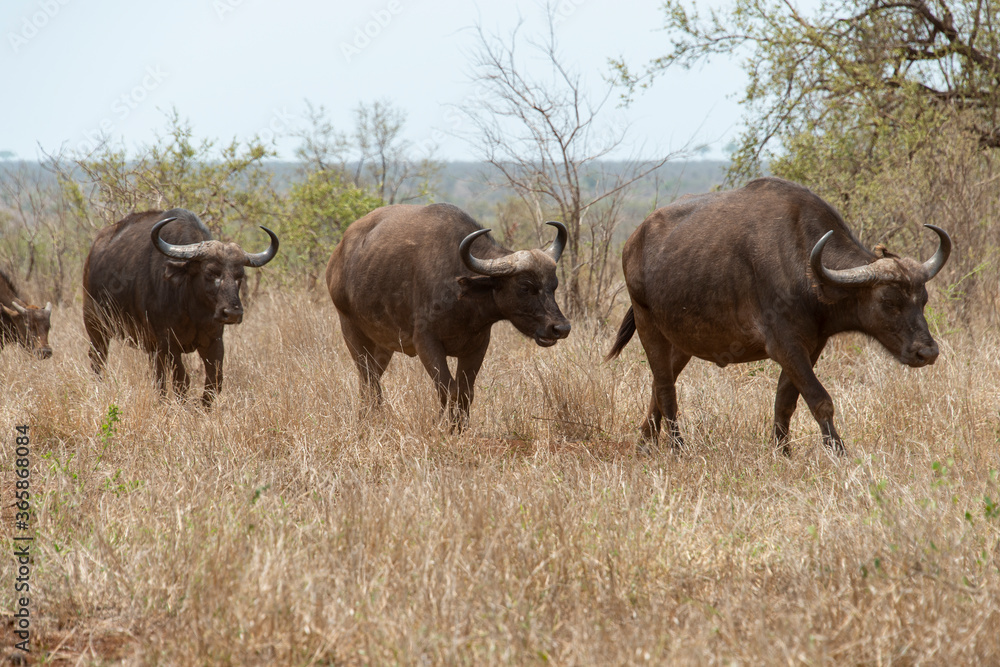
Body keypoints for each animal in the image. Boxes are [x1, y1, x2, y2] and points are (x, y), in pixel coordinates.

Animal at [81, 209, 278, 408]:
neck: (192, 308)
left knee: (157, 375)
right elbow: (182, 380)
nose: (232, 313)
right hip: (95, 326)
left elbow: (215, 380)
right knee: (98, 358)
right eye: (211, 272)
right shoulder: (169, 343)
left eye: (240, 275)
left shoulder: (214, 341)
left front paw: (202, 407)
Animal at [324, 201, 568, 428]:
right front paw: (443, 426)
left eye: (554, 285)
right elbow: (447, 388)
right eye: (525, 287)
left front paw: (460, 427)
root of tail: (338, 256)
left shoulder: (477, 346)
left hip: (384, 344)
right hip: (351, 330)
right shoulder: (426, 343)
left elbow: (465, 392)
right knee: (368, 379)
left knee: (372, 378)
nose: (561, 328)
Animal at [604, 177, 948, 454]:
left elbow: (785, 402)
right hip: (648, 326)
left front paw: (782, 452)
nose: (927, 352)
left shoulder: (811, 346)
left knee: (659, 386)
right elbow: (820, 399)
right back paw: (677, 448)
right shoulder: (785, 346)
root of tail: (634, 241)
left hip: (681, 342)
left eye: (923, 300)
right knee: (665, 389)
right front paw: (839, 453)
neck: (807, 269)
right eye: (888, 301)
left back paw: (645, 444)